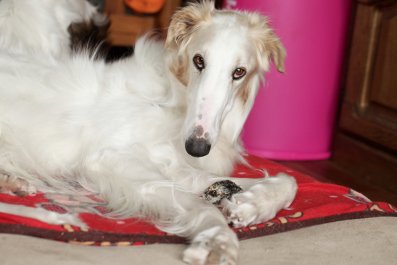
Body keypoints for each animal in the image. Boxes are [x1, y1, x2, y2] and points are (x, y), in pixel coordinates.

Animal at [0, 1, 296, 262]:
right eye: (198, 60)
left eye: (239, 72)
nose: (197, 147)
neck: (174, 100)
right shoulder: (109, 157)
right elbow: (198, 204)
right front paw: (217, 241)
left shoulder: (177, 166)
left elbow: (288, 180)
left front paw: (249, 205)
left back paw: (15, 183)